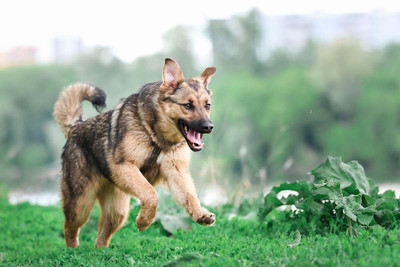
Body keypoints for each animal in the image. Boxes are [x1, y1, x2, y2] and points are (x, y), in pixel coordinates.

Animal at [53, 58, 217, 249]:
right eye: (188, 105)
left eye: (207, 105)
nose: (209, 127)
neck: (157, 137)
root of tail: (74, 127)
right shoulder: (126, 166)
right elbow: (151, 194)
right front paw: (144, 221)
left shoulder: (176, 173)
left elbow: (190, 196)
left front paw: (201, 213)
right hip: (81, 205)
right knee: (69, 228)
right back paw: (72, 251)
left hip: (117, 213)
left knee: (101, 238)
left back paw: (101, 252)